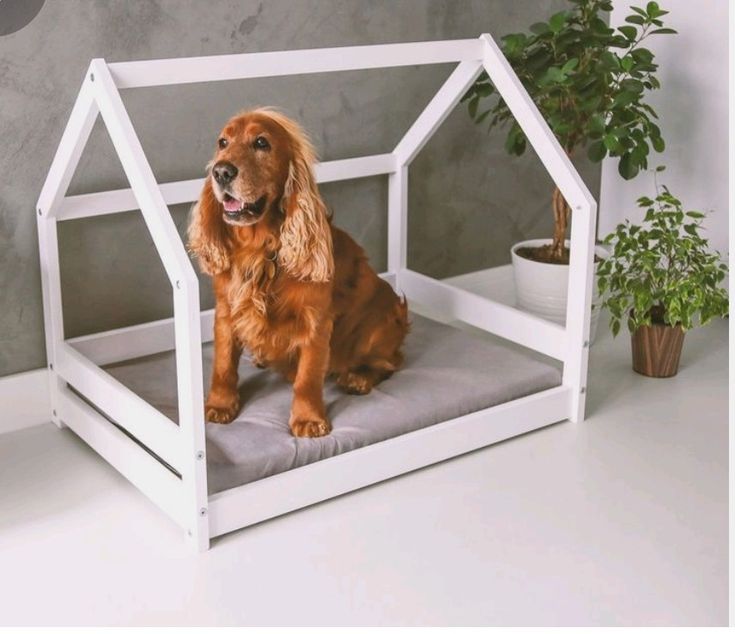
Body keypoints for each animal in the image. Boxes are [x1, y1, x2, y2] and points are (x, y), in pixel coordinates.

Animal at [187, 108, 412, 434]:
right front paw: (220, 404)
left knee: (391, 361)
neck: (260, 249)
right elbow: (223, 365)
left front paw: (308, 419)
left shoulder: (315, 321)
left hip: (381, 322)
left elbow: (308, 376)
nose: (221, 172)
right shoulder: (226, 312)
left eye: (261, 143)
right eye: (223, 142)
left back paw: (358, 377)